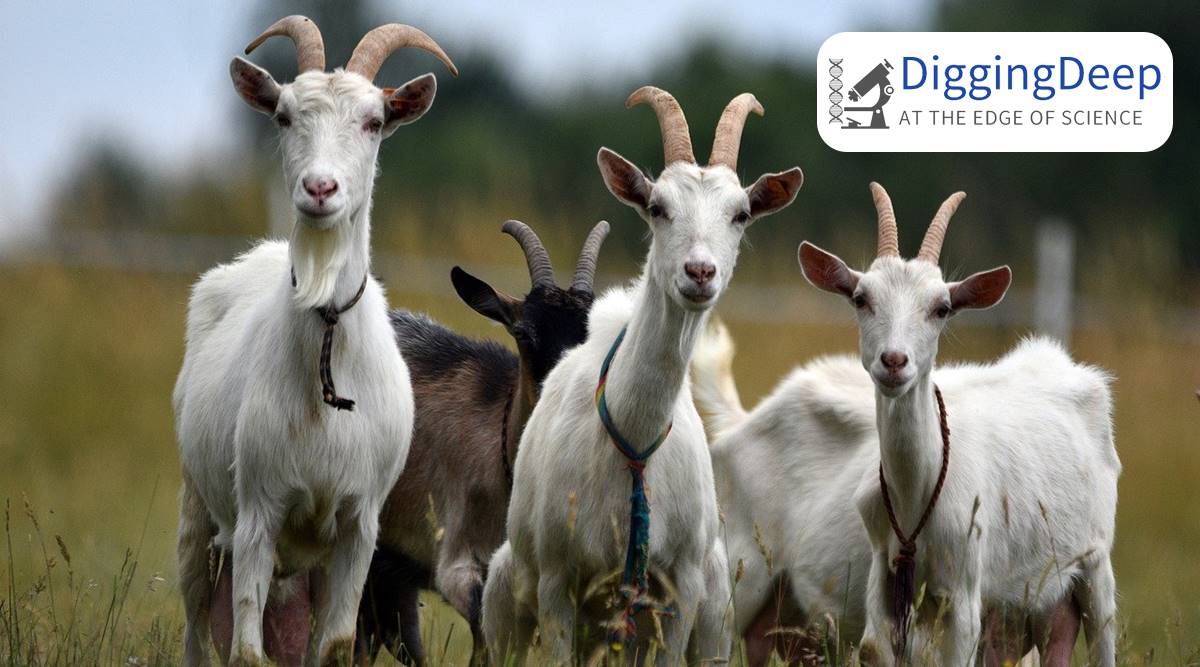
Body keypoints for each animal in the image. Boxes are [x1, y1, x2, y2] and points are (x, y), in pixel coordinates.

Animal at [173, 16, 456, 666]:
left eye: (374, 120)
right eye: (283, 116)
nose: (320, 188)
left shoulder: (358, 526)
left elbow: (334, 646)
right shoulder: (258, 511)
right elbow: (246, 652)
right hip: (199, 514)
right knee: (197, 627)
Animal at [481, 86, 804, 664]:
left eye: (741, 214)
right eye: (658, 207)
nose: (700, 272)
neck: (633, 443)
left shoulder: (681, 589)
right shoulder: (558, 584)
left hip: (713, 616)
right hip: (508, 601)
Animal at [797, 183, 1119, 666]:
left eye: (942, 307)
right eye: (861, 298)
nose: (894, 361)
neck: (916, 495)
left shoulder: (964, 586)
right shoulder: (884, 577)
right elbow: (875, 647)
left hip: (1096, 560)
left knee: (1103, 633)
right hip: (1031, 600)